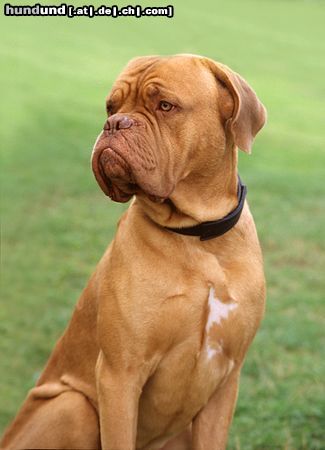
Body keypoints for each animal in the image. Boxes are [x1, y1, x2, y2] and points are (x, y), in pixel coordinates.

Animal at [0, 54, 266, 448]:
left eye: (165, 105)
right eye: (111, 107)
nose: (114, 124)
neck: (198, 237)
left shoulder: (225, 380)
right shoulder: (120, 375)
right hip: (72, 406)